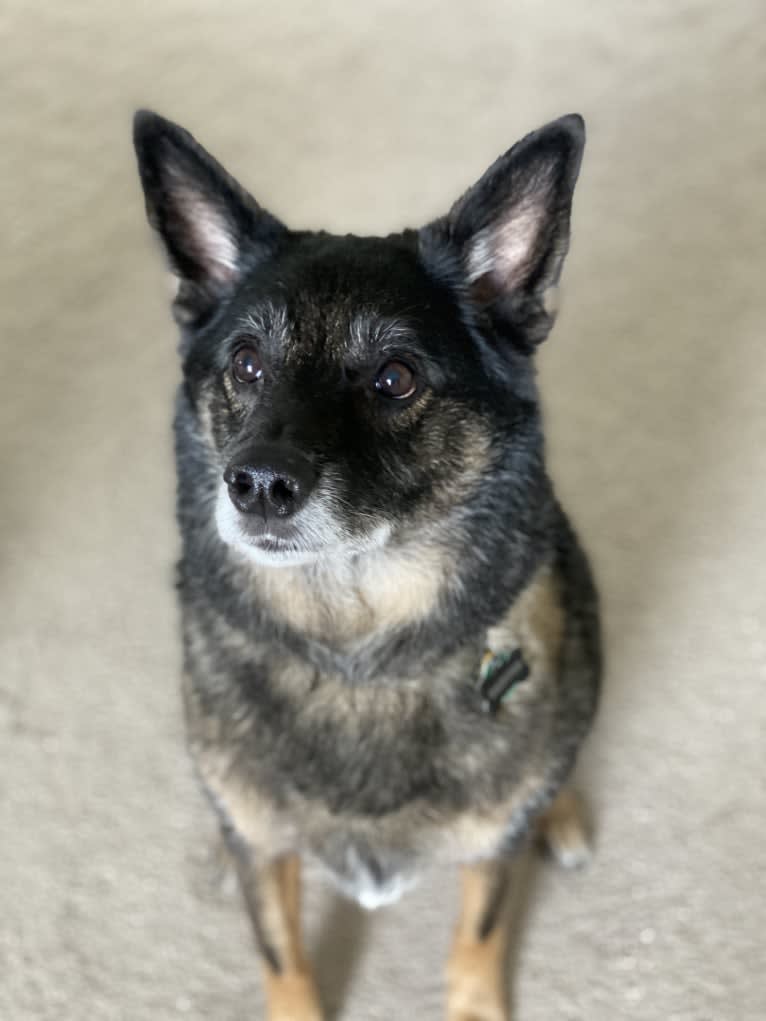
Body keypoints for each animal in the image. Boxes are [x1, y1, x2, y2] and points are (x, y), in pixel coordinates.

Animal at [134, 109, 604, 1021]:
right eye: (245, 363)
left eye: (395, 378)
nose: (258, 483)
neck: (354, 653)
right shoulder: (267, 861)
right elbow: (282, 952)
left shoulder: (488, 853)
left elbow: (480, 931)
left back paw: (557, 810)